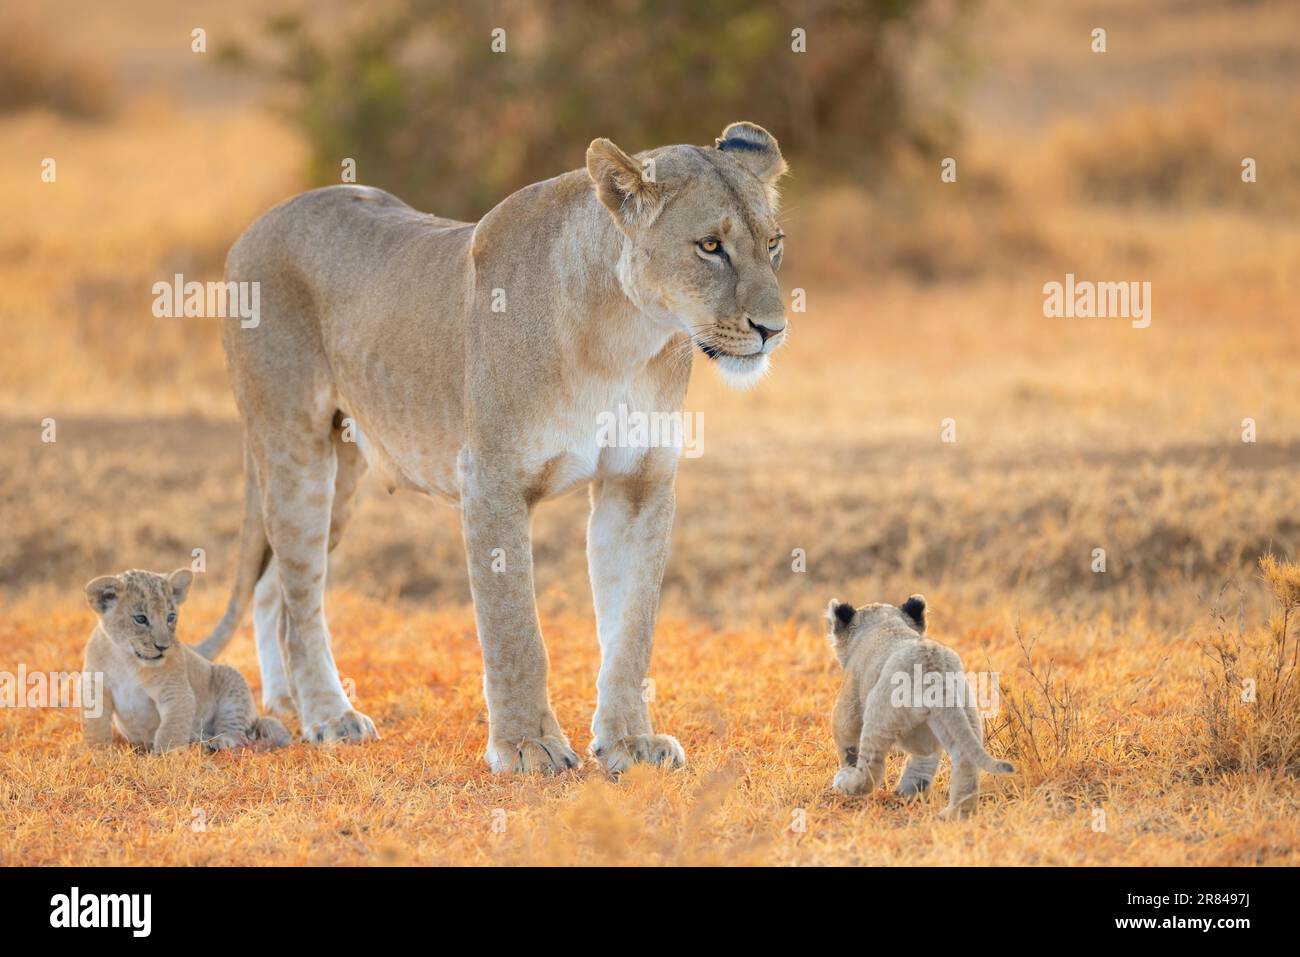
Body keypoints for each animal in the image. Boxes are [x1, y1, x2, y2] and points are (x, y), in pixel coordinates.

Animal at [82, 568, 290, 752]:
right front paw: (97, 752)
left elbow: (172, 728)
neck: (127, 661)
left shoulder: (175, 691)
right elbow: (95, 723)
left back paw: (217, 742)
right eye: (140, 619)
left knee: (238, 732)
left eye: (170, 616)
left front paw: (168, 758)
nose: (163, 646)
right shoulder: (95, 684)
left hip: (231, 681)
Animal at [194, 122, 790, 771]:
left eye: (774, 243)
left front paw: (630, 741)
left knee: (275, 586)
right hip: (295, 450)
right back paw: (329, 716)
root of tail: (256, 225)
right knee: (300, 597)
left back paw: (288, 705)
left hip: (340, 473)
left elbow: (632, 629)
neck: (625, 338)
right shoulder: (491, 481)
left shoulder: (637, 485)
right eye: (709, 246)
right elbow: (515, 628)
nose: (774, 329)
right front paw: (528, 746)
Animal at [825, 595, 1015, 818]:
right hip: (961, 713)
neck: (883, 621)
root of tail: (931, 667)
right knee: (962, 759)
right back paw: (952, 814)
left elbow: (846, 741)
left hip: (878, 711)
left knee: (871, 771)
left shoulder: (849, 703)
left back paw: (845, 781)